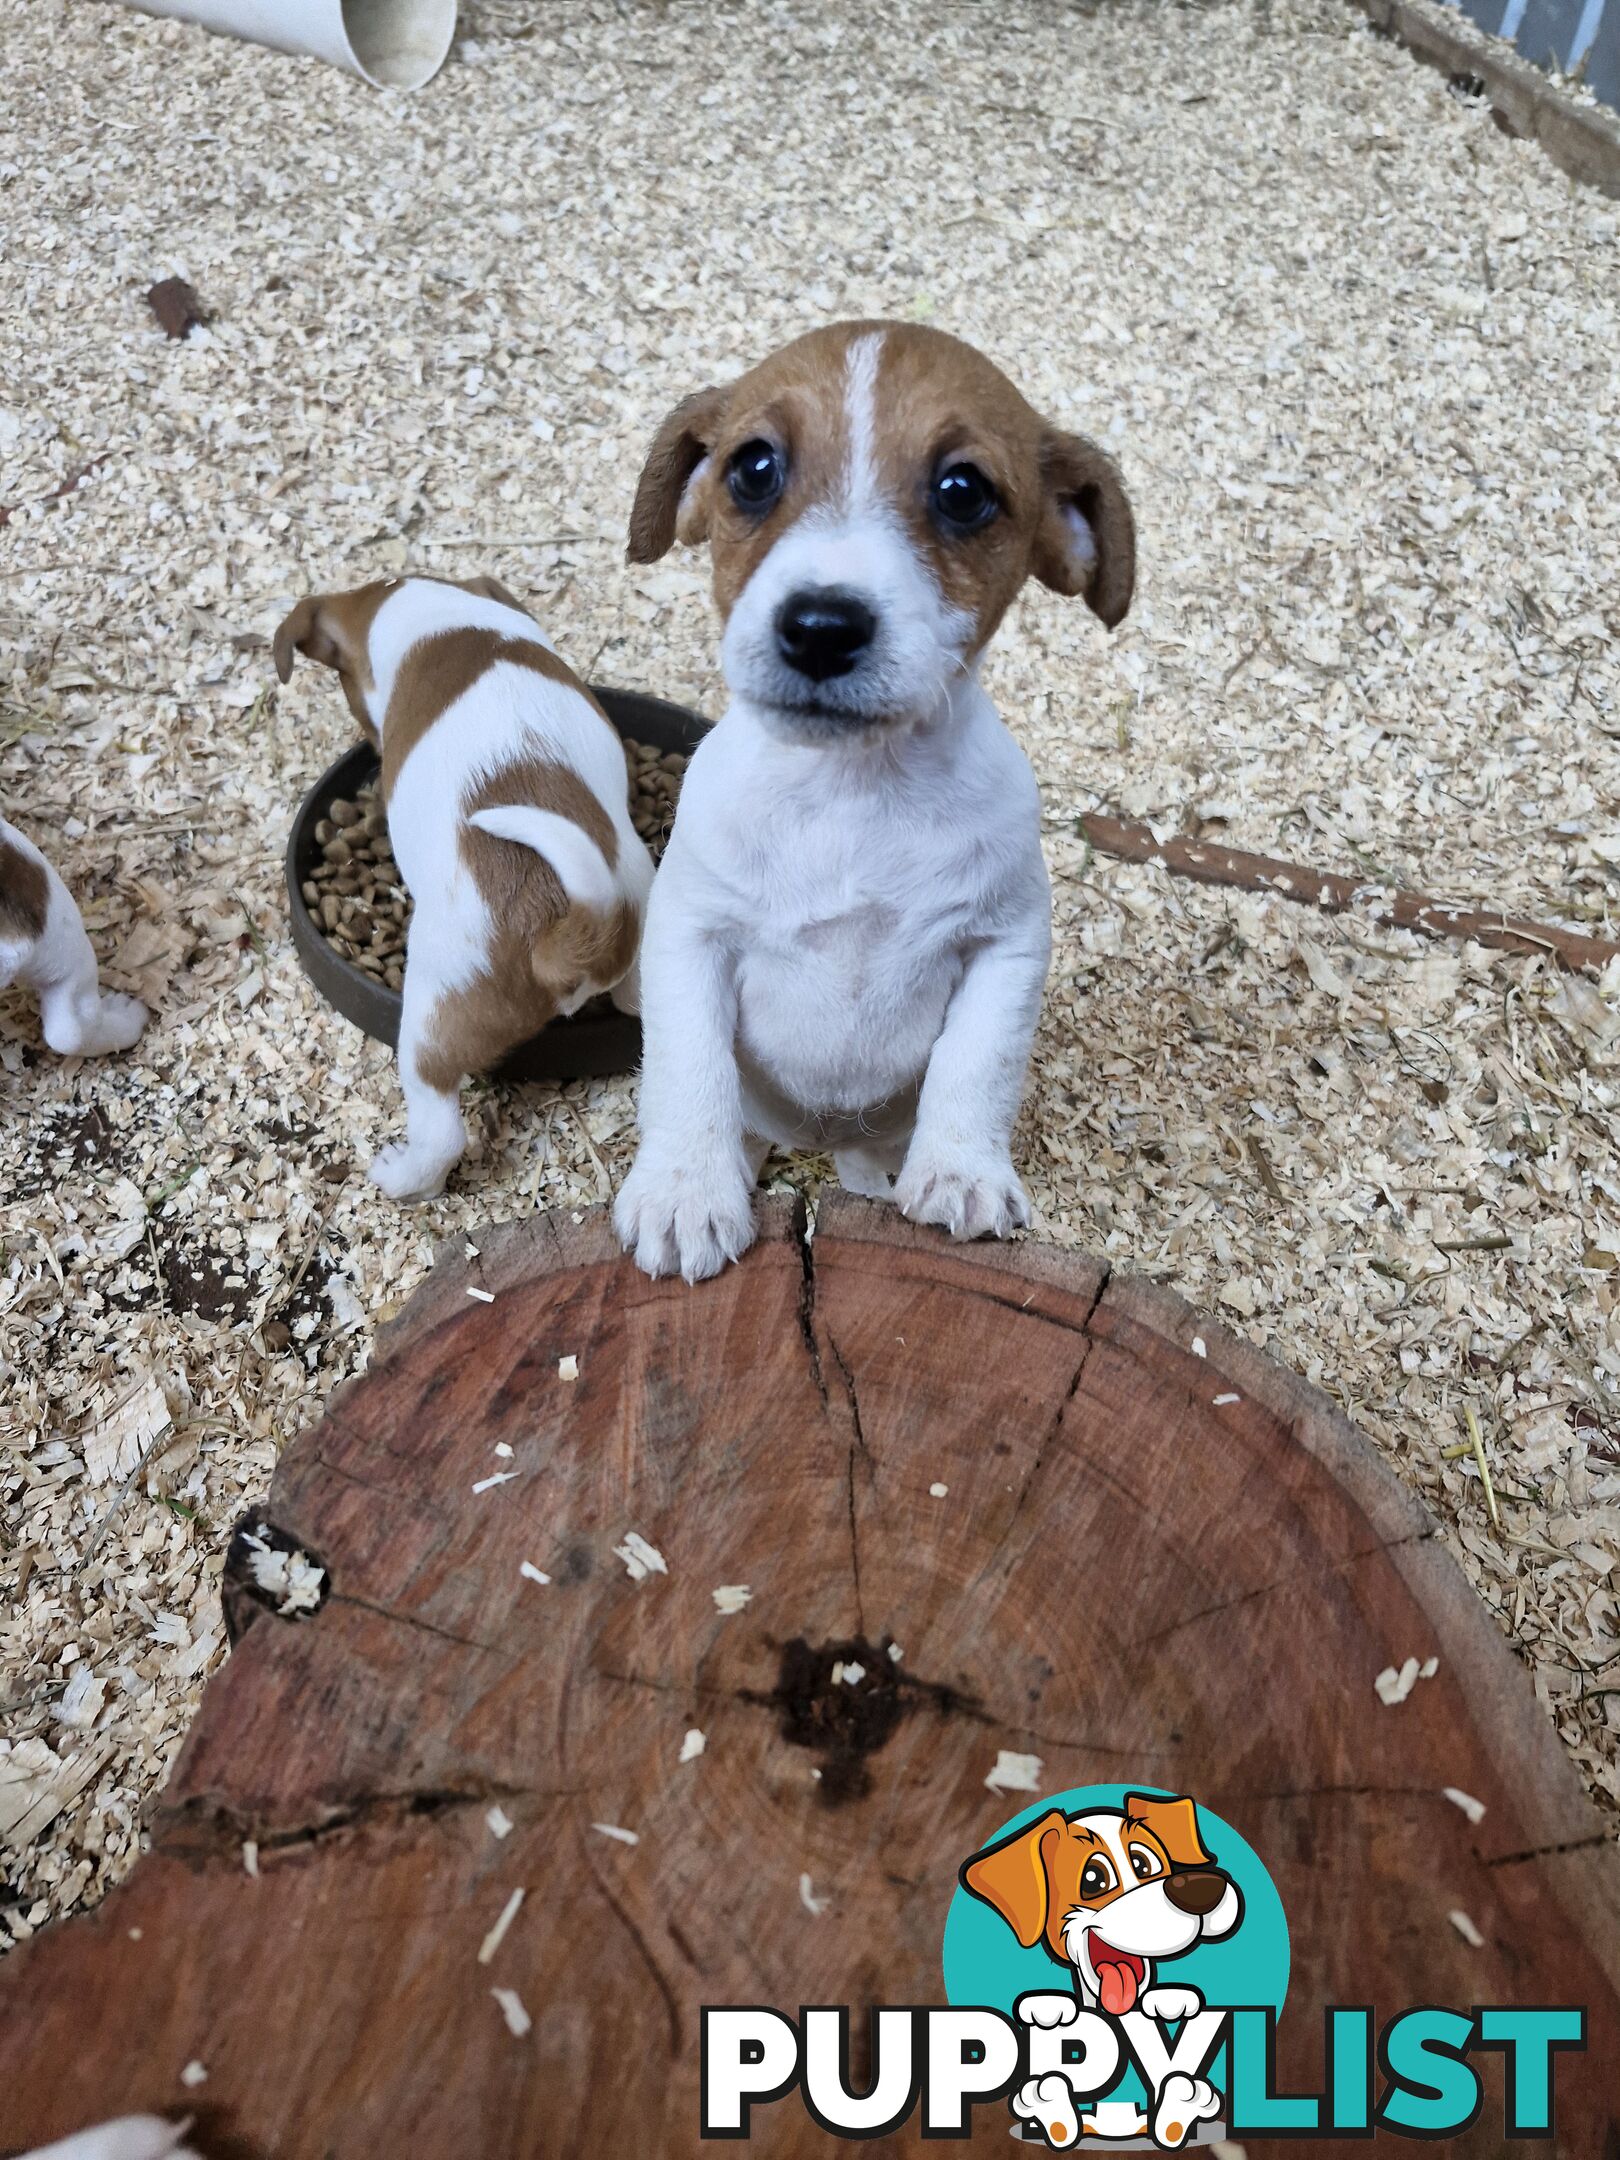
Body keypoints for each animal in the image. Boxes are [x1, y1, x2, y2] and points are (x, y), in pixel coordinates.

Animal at [613, 319, 1131, 1278]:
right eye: (753, 468)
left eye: (963, 491)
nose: (821, 628)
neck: (853, 795)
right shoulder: (688, 935)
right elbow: (688, 1068)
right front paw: (685, 1191)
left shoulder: (1005, 944)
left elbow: (978, 1065)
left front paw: (961, 1172)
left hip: (871, 1140)